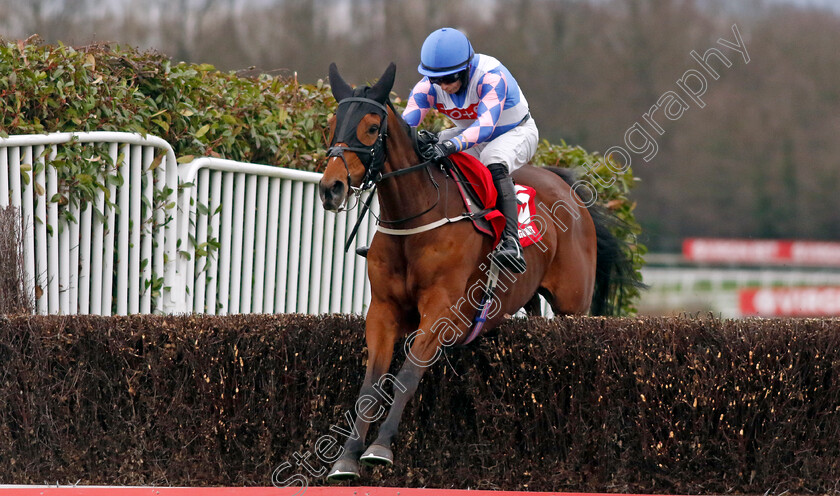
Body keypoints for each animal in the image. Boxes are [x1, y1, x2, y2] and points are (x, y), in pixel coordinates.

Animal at [318, 62, 632, 480]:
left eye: (371, 127)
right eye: (331, 125)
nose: (331, 188)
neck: (415, 216)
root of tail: (568, 189)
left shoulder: (441, 310)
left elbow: (407, 376)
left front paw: (380, 448)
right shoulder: (382, 310)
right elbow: (370, 386)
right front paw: (347, 457)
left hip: (573, 306)